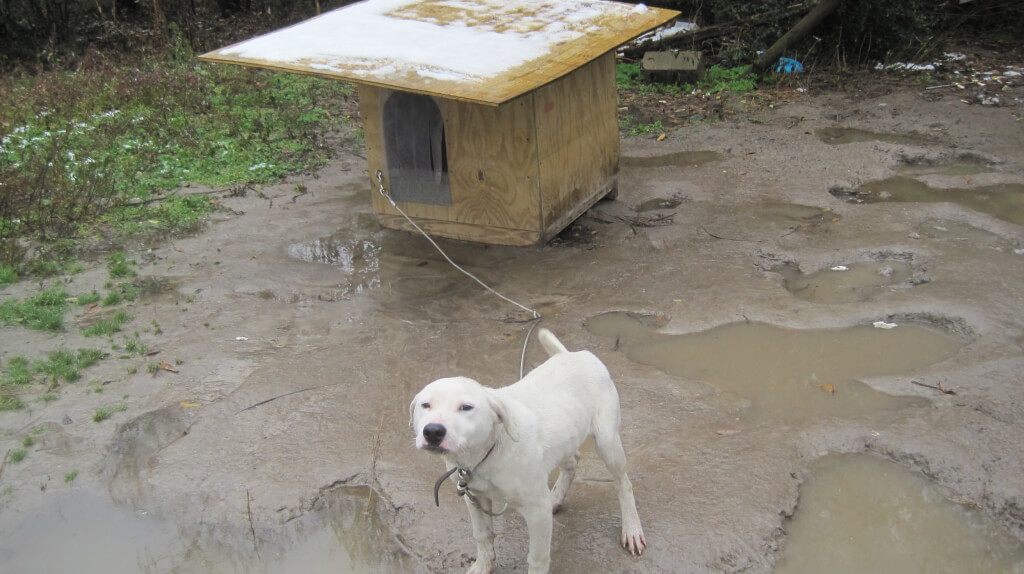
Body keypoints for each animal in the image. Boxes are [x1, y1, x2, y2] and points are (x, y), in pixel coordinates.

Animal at [409, 327, 643, 572]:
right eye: (425, 405)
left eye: (466, 407)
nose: (433, 432)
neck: (485, 455)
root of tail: (575, 354)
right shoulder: (474, 498)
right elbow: (482, 535)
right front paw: (483, 565)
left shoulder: (537, 511)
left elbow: (537, 557)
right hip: (565, 438)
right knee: (572, 462)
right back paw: (556, 496)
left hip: (608, 442)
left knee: (624, 483)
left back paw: (632, 528)